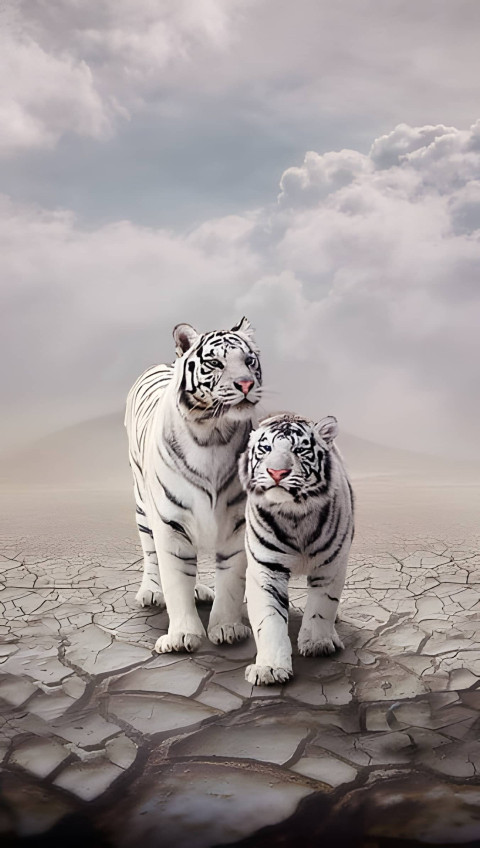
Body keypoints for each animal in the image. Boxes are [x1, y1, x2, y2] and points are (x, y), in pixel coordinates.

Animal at [124, 317, 262, 653]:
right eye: (215, 363)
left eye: (249, 361)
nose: (246, 384)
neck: (213, 433)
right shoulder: (170, 523)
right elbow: (175, 579)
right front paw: (182, 636)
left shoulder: (236, 523)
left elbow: (231, 580)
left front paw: (227, 628)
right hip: (142, 504)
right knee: (150, 551)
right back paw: (150, 592)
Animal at [238, 412, 354, 685]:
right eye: (266, 449)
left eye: (300, 450)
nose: (277, 472)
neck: (294, 515)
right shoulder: (266, 569)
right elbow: (269, 618)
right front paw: (269, 668)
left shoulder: (331, 566)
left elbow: (322, 606)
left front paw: (317, 643)